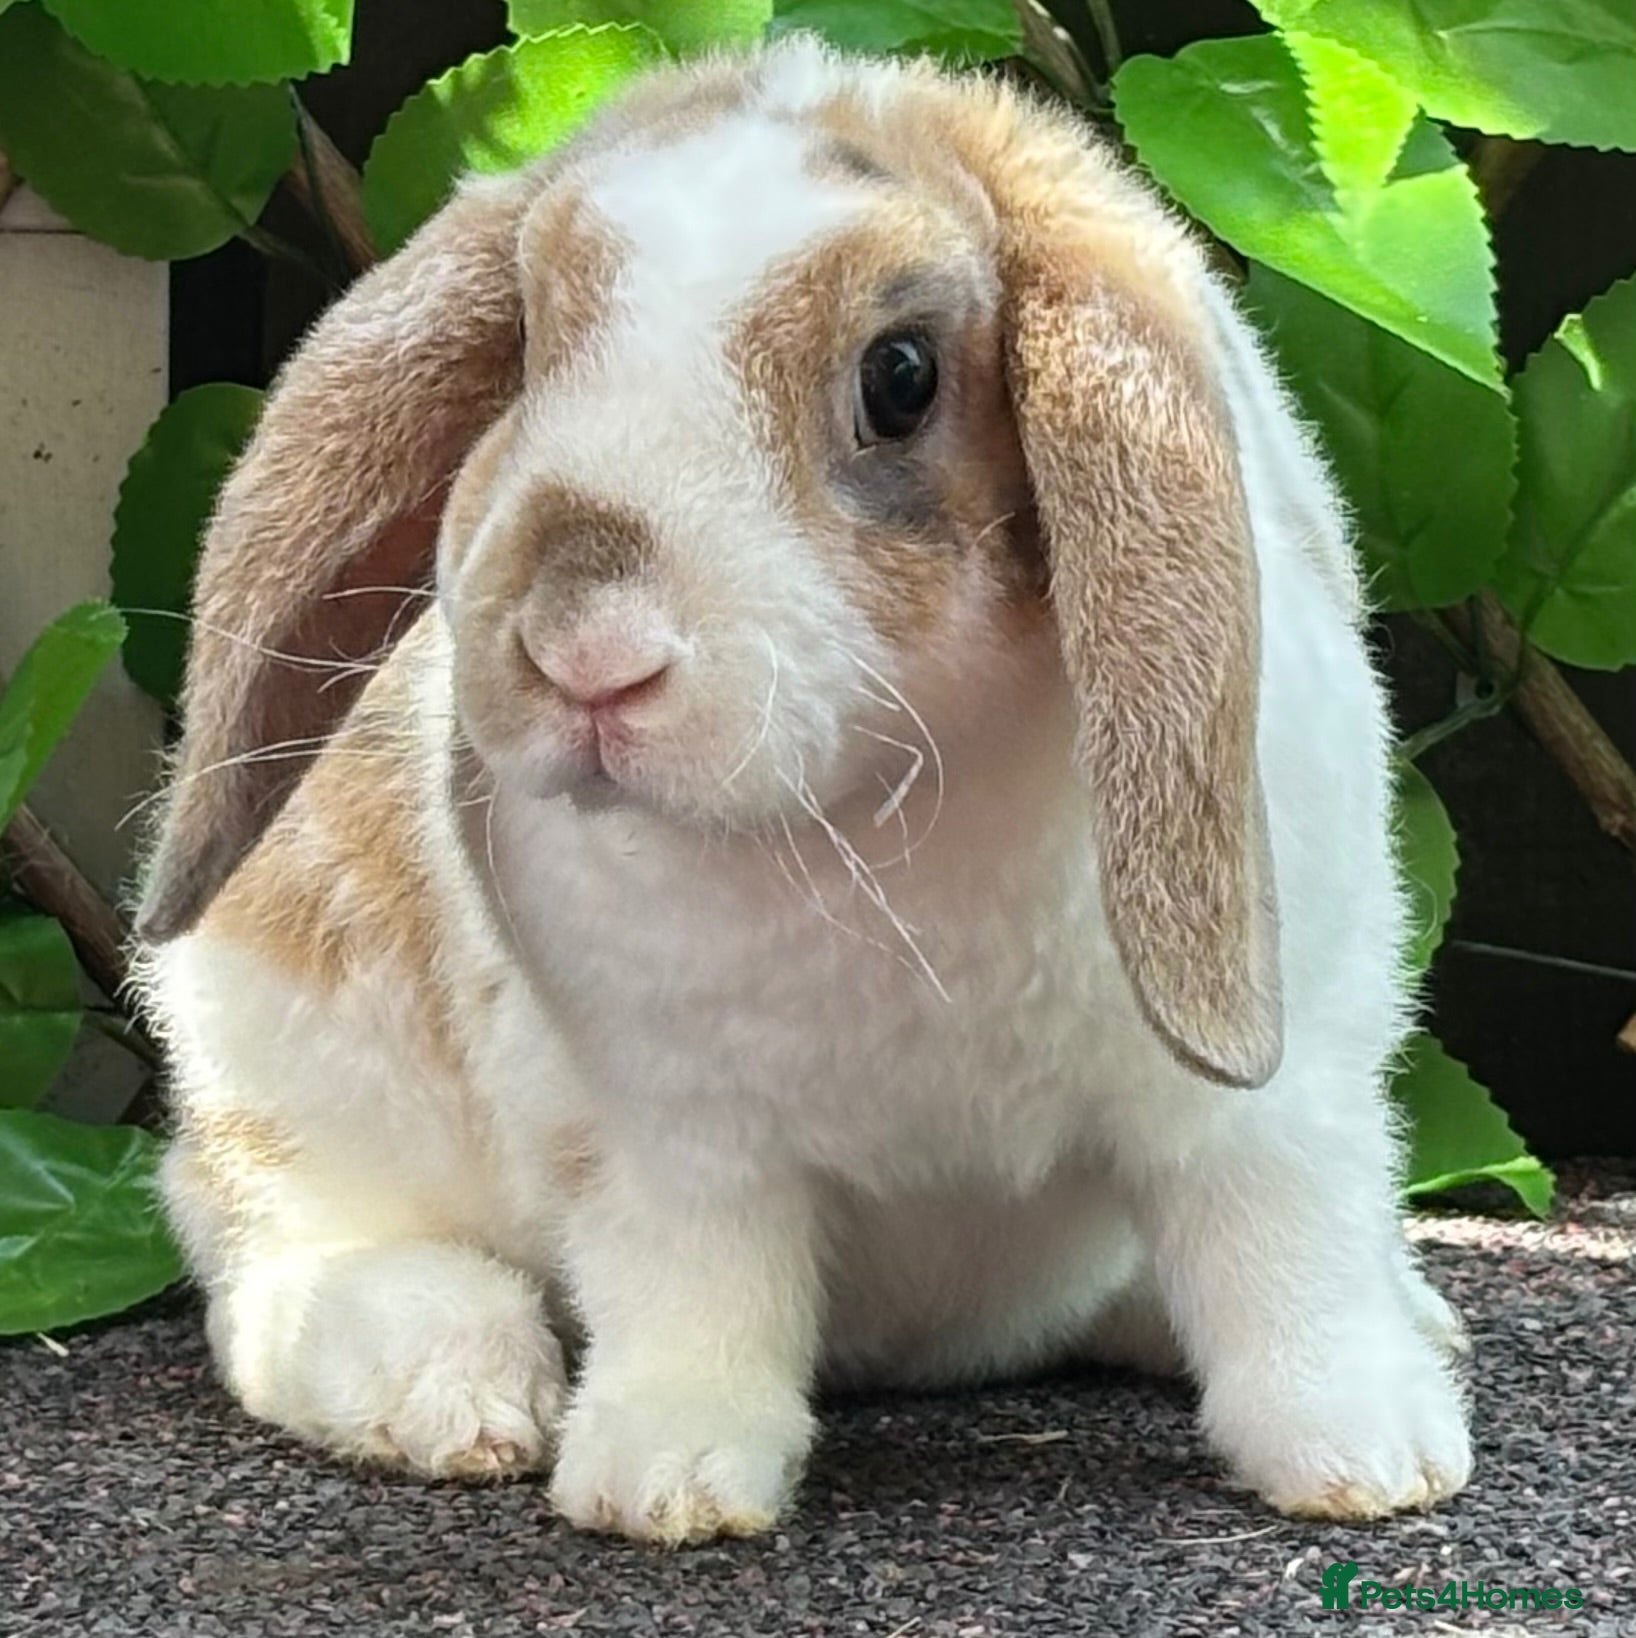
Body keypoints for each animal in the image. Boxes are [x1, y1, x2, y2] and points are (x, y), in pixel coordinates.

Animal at [134, 36, 1471, 1545]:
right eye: (529, 340)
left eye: (901, 374)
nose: (584, 651)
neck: (878, 799)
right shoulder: (675, 1135)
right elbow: (695, 1287)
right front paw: (667, 1480)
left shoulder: (1267, 1103)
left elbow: (1282, 1257)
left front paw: (1368, 1459)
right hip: (280, 1062)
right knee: (264, 1257)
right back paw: (452, 1388)